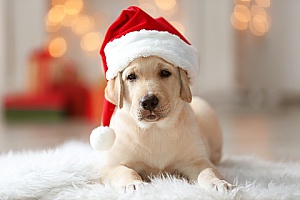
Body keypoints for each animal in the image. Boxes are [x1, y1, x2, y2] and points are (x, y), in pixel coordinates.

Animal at [100, 55, 232, 191]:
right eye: (131, 76)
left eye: (165, 73)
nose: (149, 101)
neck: (154, 129)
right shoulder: (112, 166)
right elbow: (127, 172)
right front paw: (133, 184)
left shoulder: (198, 161)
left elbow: (207, 171)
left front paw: (216, 183)